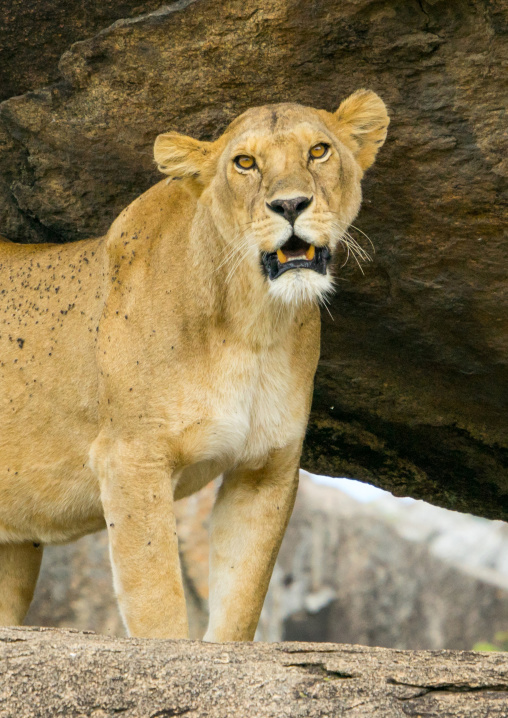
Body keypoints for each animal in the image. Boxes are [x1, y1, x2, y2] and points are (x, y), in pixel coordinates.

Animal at [0, 91, 388, 640]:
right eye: (244, 163)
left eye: (319, 151)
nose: (291, 205)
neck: (252, 325)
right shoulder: (132, 457)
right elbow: (158, 601)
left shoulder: (266, 468)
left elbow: (239, 603)